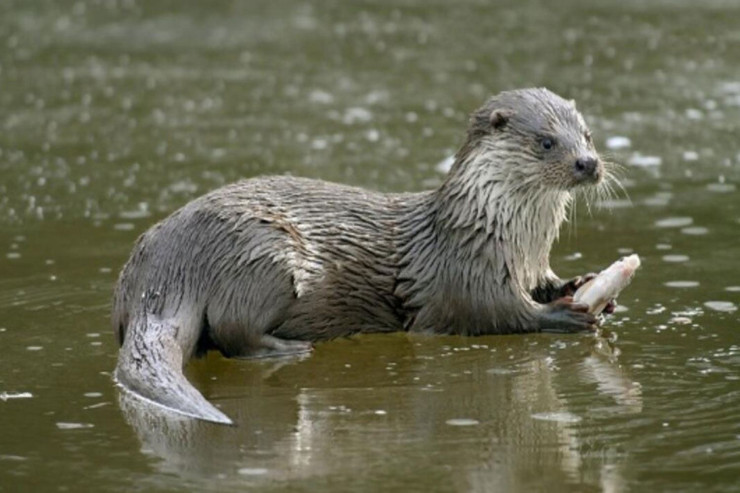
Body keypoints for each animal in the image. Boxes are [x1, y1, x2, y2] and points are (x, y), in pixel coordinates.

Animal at [111, 87, 620, 422]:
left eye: (589, 135)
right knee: (235, 331)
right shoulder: (463, 272)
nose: (588, 164)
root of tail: (159, 274)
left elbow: (544, 284)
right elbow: (495, 312)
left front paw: (583, 286)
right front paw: (563, 315)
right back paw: (288, 349)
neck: (502, 234)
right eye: (547, 142)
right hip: (262, 253)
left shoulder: (529, 264)